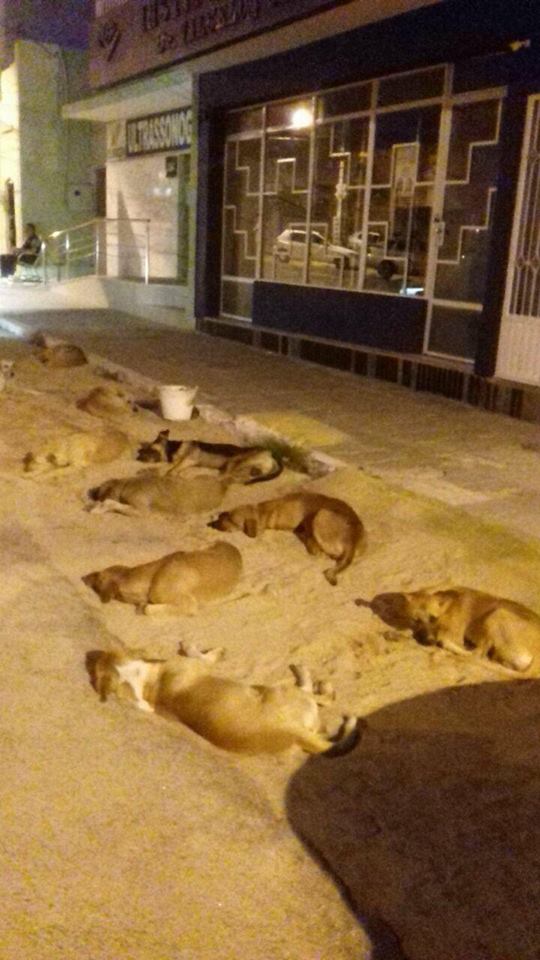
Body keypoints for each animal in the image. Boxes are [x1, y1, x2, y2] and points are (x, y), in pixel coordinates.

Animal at [85, 647, 360, 755]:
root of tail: (290, 731)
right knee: (321, 696)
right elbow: (202, 655)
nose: (90, 655)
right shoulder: (197, 663)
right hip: (281, 691)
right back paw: (311, 679)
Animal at [88, 471, 228, 516]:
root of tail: (222, 485)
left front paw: (99, 508)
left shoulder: (142, 510)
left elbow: (114, 504)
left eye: (100, 497)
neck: (126, 485)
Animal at [137, 430, 283, 485]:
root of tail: (270, 454)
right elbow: (169, 467)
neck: (173, 447)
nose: (137, 454)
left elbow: (171, 470)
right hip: (251, 467)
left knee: (225, 476)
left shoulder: (189, 459)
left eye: (149, 448)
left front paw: (171, 475)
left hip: (235, 460)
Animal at [211, 491, 365, 585]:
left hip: (321, 515)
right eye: (227, 515)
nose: (211, 524)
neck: (262, 512)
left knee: (319, 551)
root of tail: (352, 539)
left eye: (231, 521)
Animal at [360, 587, 540, 674]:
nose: (428, 641)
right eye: (415, 620)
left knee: (475, 655)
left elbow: (442, 639)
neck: (446, 607)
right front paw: (399, 634)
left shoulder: (452, 636)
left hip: (497, 614)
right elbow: (414, 632)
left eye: (433, 618)